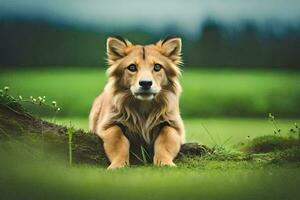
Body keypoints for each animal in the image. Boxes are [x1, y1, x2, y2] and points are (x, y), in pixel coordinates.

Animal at [88, 36, 184, 169]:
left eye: (157, 67)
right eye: (132, 67)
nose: (145, 83)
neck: (143, 107)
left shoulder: (175, 126)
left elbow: (166, 137)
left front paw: (165, 162)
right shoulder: (107, 125)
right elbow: (117, 138)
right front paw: (118, 164)